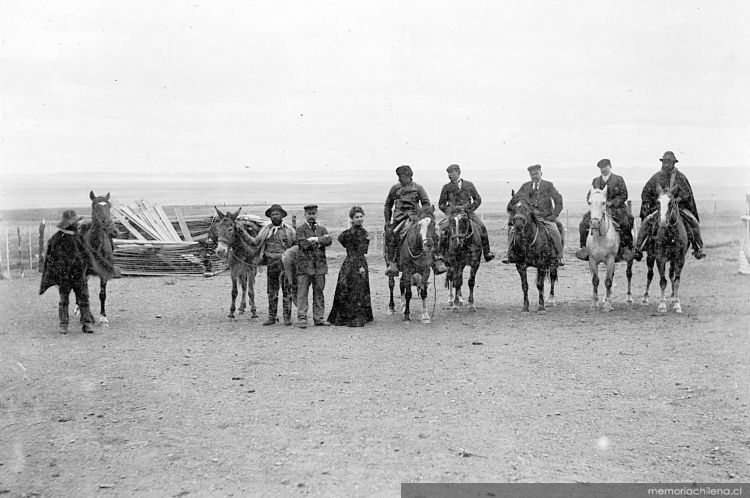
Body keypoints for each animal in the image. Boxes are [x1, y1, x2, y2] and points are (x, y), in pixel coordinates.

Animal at [644, 185, 692, 314]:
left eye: (671, 202)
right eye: (658, 202)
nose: (662, 222)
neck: (671, 236)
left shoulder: (680, 259)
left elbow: (676, 281)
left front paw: (676, 304)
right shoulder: (660, 258)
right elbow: (662, 281)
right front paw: (661, 305)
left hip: (673, 261)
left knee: (671, 275)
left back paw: (673, 298)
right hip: (650, 257)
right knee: (650, 275)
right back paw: (645, 298)